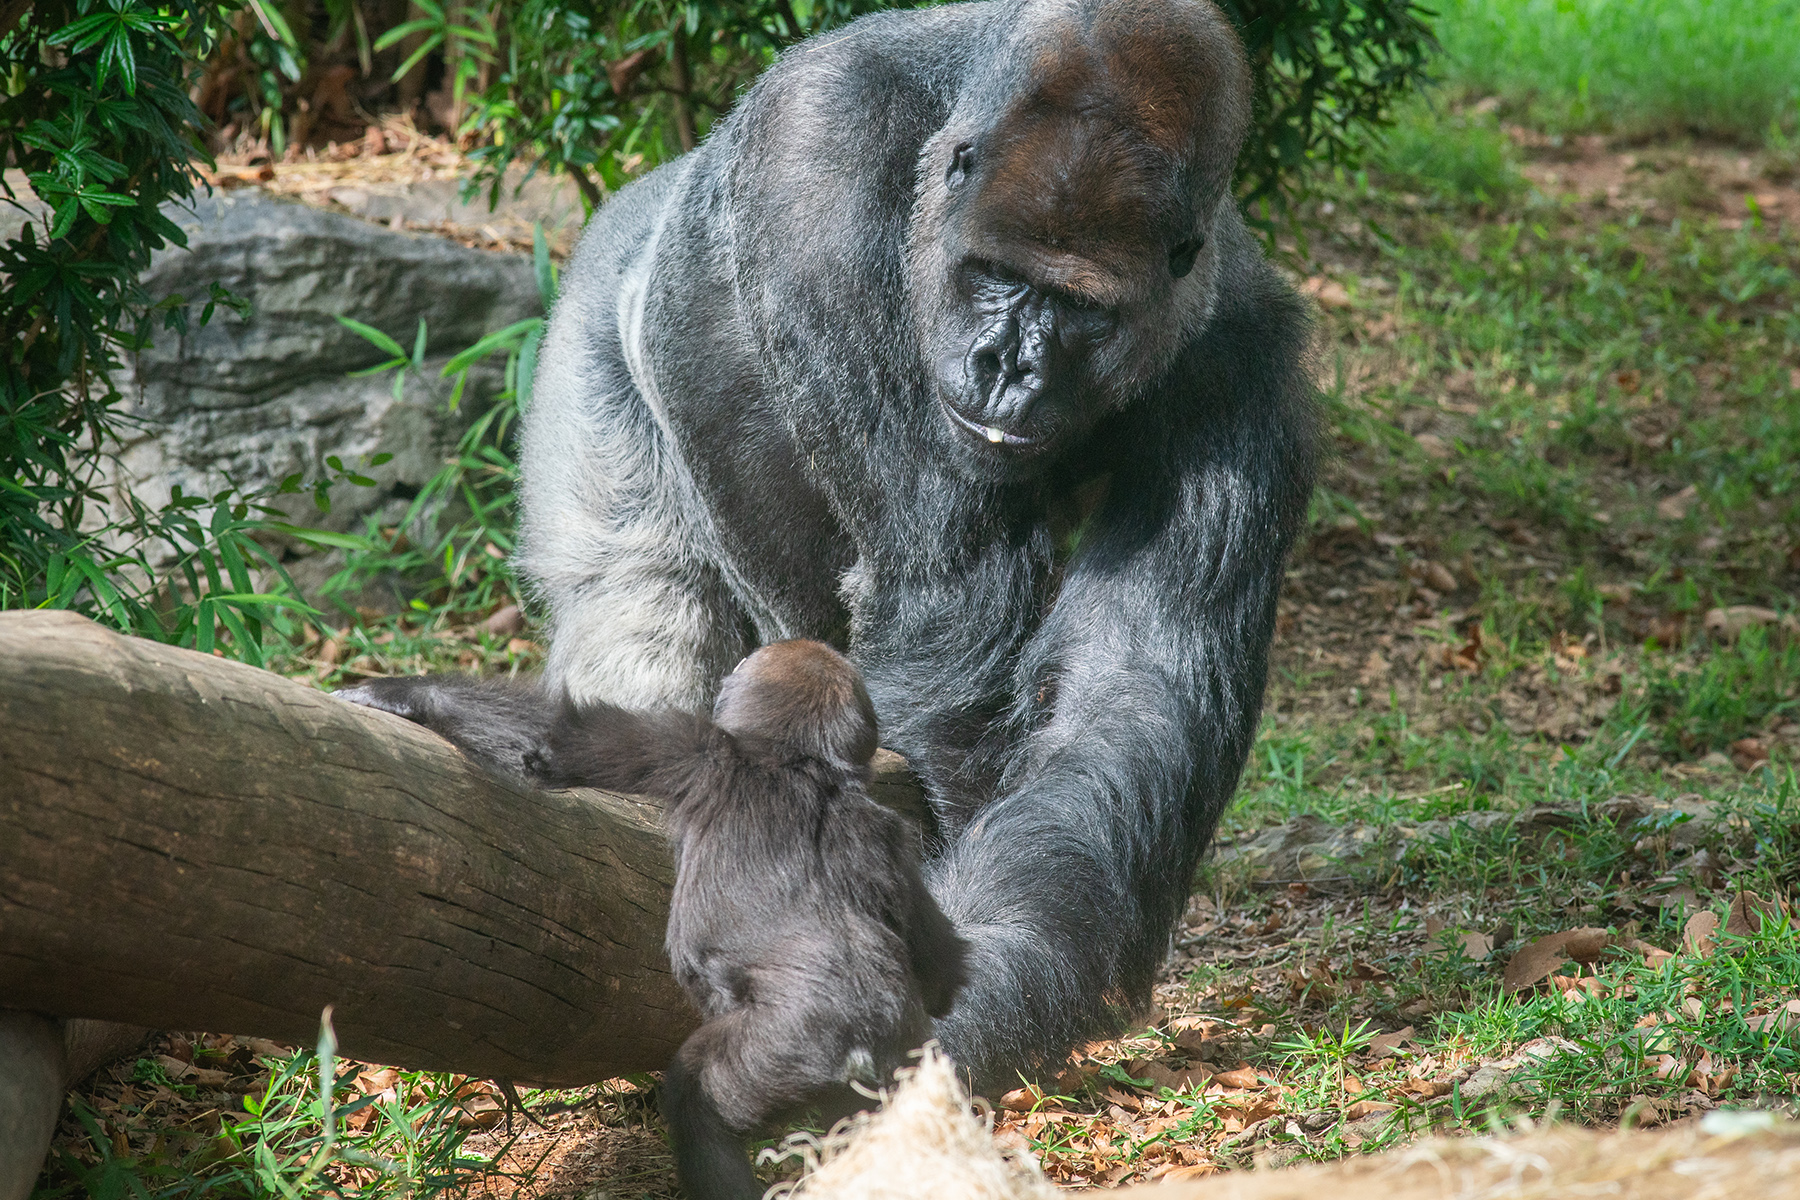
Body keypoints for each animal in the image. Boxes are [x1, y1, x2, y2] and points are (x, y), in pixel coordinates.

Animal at [338, 647, 972, 1200]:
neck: (799, 762)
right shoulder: (891, 835)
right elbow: (940, 965)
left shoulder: (694, 748)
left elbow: (550, 743)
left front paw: (397, 694)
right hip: (901, 1063)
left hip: (795, 1045)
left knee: (698, 1103)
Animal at [351, 0, 1317, 1086]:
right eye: (993, 277)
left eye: (1078, 307)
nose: (1005, 366)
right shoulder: (817, 152)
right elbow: (943, 603)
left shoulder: (1241, 364)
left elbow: (1124, 692)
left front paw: (988, 980)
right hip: (591, 321)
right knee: (639, 599)